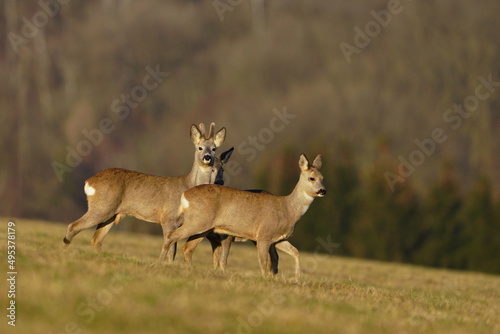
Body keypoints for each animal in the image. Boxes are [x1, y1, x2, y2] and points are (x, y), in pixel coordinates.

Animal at [61, 122, 229, 260]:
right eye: (199, 147)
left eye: (214, 149)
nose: (207, 157)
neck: (187, 186)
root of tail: (89, 181)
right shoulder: (168, 218)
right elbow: (170, 249)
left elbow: (173, 249)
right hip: (102, 207)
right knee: (73, 226)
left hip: (111, 214)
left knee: (96, 239)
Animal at [162, 154, 326, 276]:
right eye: (311, 178)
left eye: (323, 178)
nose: (323, 191)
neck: (287, 209)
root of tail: (185, 195)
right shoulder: (264, 235)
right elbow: (263, 262)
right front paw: (265, 279)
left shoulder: (278, 238)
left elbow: (296, 252)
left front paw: (297, 277)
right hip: (198, 221)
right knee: (171, 236)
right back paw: (161, 262)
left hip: (203, 227)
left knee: (187, 248)